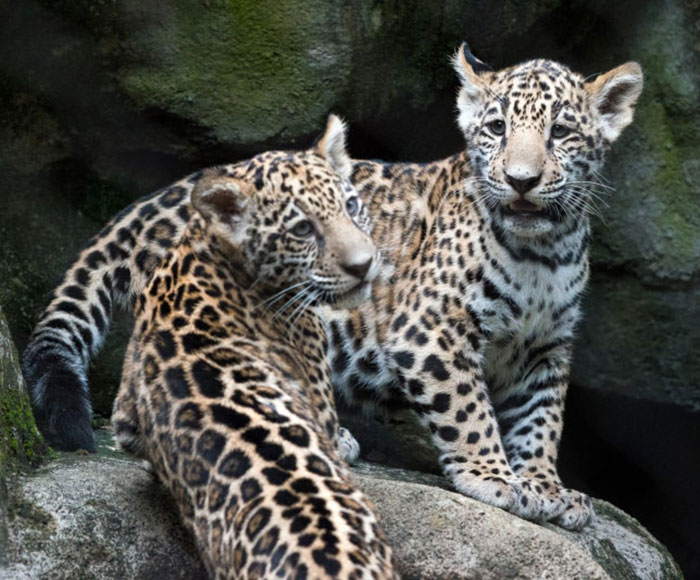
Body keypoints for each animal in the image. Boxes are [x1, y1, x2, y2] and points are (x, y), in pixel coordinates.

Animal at [22, 44, 643, 531]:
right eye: (496, 130)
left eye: (560, 132)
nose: (521, 180)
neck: (543, 253)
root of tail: (169, 197)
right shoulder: (431, 330)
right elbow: (468, 409)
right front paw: (492, 477)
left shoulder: (547, 348)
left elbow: (542, 420)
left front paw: (545, 486)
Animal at [111, 115, 396, 579]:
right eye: (302, 229)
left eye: (351, 206)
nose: (363, 265)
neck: (200, 245)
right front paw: (347, 441)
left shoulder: (126, 414)